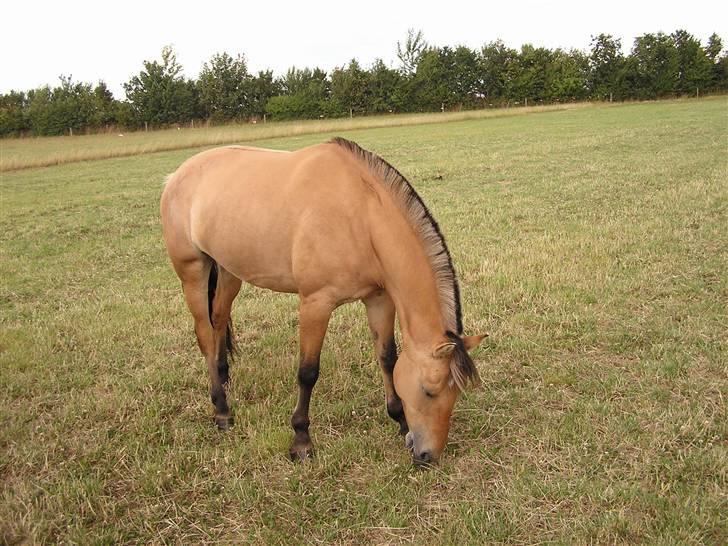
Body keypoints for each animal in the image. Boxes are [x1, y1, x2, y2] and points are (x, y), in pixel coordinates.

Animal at [162, 137, 486, 464]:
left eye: (456, 393)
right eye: (429, 390)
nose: (427, 455)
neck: (358, 215)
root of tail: (176, 175)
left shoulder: (379, 299)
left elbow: (387, 358)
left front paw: (399, 420)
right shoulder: (316, 304)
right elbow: (308, 372)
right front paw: (301, 440)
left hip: (229, 271)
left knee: (217, 321)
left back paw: (224, 377)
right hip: (193, 272)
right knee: (204, 334)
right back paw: (222, 409)